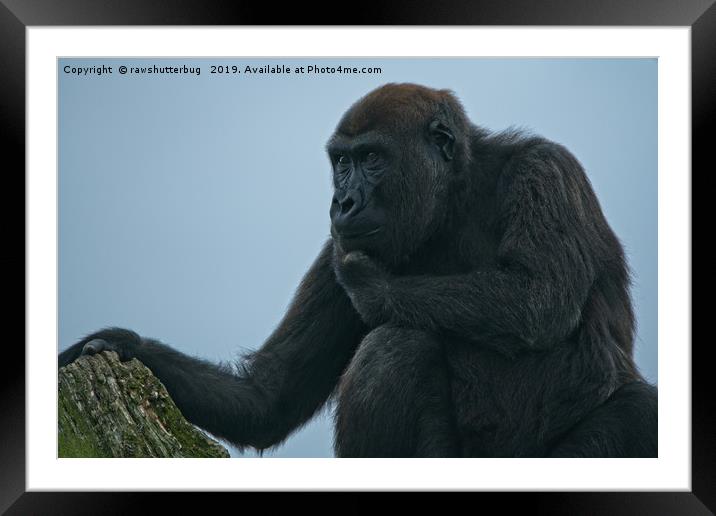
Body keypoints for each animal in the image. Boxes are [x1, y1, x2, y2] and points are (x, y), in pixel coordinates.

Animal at [58, 84, 656, 460]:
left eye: (371, 158)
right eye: (340, 162)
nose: (341, 202)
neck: (453, 197)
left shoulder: (547, 170)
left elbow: (539, 300)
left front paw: (375, 286)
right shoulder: (334, 245)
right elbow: (268, 398)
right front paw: (124, 344)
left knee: (640, 414)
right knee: (397, 351)